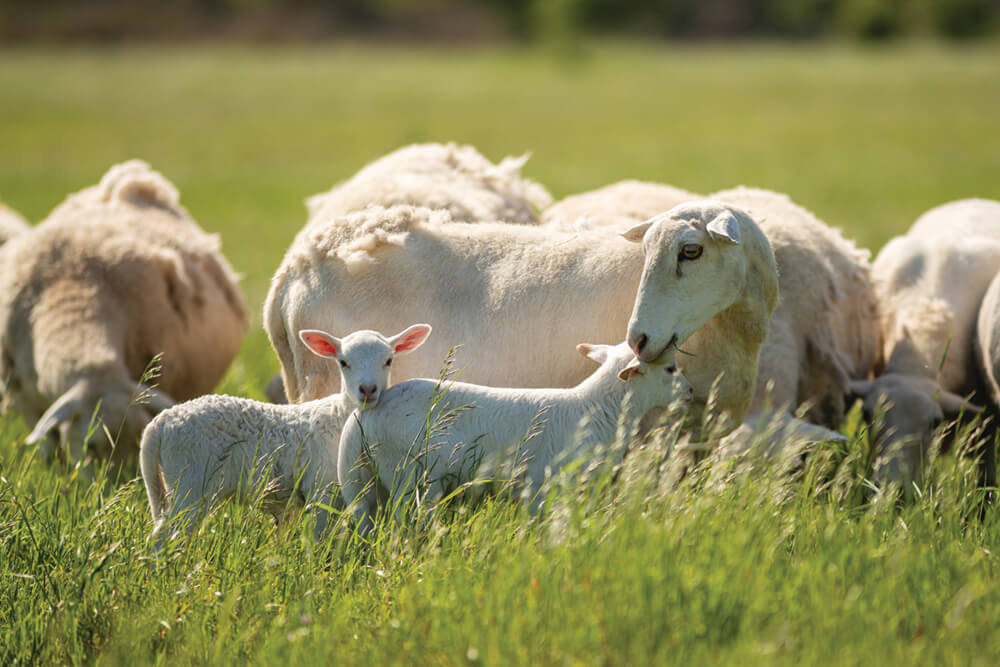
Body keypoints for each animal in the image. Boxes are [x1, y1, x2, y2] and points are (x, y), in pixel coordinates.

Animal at [0, 159, 249, 468]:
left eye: (138, 441)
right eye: (91, 446)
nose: (116, 481)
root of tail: (134, 179)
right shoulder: (24, 398)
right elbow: (47, 446)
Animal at [140, 324, 430, 552]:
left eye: (388, 360)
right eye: (343, 362)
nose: (367, 389)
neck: (341, 415)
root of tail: (161, 422)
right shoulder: (320, 489)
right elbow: (319, 539)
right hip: (190, 480)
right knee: (164, 536)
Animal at [340, 340, 692, 532]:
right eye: (670, 369)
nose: (690, 392)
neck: (594, 408)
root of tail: (363, 415)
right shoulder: (546, 486)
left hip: (376, 478)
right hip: (407, 475)